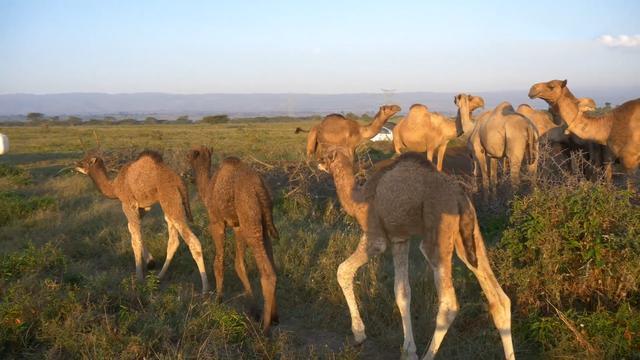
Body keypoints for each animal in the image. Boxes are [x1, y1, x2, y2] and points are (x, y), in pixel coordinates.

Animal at [75, 150, 208, 294]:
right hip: (170, 206)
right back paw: (160, 276)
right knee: (174, 241)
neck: (115, 187)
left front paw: (139, 277)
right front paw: (150, 262)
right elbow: (133, 230)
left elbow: (135, 239)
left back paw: (205, 289)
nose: (75, 164)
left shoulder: (128, 204)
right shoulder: (144, 207)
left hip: (171, 201)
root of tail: (181, 183)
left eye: (85, 161)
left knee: (193, 241)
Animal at [186, 146, 278, 334]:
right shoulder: (237, 226)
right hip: (262, 223)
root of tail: (260, 189)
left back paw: (265, 329)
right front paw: (252, 307)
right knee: (271, 261)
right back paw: (273, 317)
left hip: (251, 220)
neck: (208, 188)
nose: (186, 174)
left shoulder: (217, 222)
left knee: (268, 272)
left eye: (188, 156)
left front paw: (218, 299)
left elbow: (218, 262)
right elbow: (239, 264)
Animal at [318, 148, 516, 360]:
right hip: (470, 239)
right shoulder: (400, 239)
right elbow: (402, 292)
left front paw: (359, 334)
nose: (318, 162)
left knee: (449, 304)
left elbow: (342, 270)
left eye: (327, 156)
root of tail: (460, 198)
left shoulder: (376, 237)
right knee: (500, 300)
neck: (358, 200)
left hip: (436, 239)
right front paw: (408, 350)